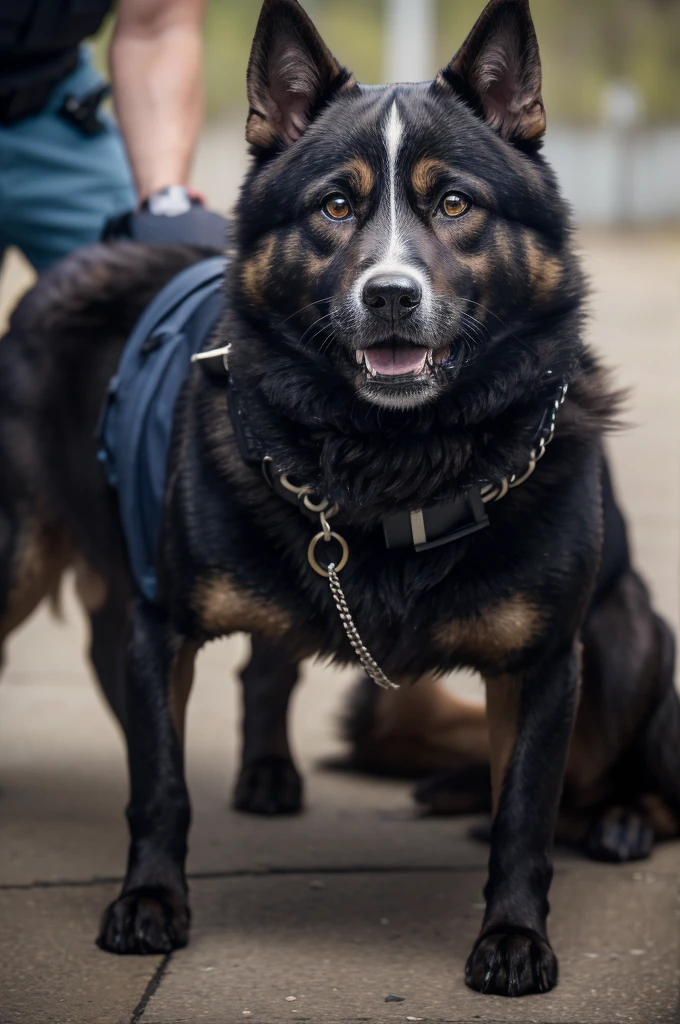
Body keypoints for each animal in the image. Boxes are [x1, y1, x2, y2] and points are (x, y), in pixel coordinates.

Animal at [1, 0, 680, 995]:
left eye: (454, 204)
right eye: (334, 206)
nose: (390, 295)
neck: (395, 459)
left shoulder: (547, 664)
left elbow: (522, 812)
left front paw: (514, 935)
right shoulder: (161, 626)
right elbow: (159, 781)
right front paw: (152, 899)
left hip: (630, 632)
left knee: (626, 779)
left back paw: (623, 815)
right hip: (16, 560)